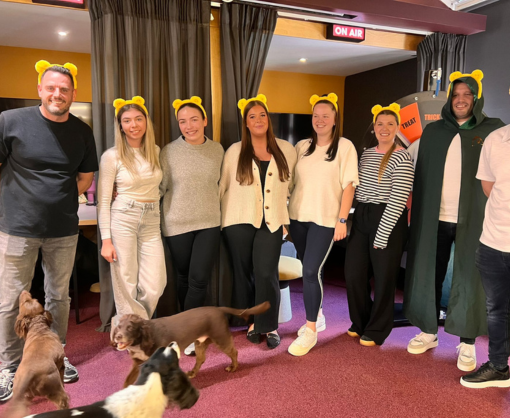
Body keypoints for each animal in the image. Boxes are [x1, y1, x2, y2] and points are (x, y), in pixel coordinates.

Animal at [5, 290, 68, 418]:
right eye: (24, 301)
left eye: (31, 299)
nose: (23, 291)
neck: (39, 329)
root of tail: (29, 375)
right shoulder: (60, 364)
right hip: (56, 390)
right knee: (62, 403)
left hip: (23, 398)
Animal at [112, 302, 270, 386]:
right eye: (119, 327)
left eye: (130, 327)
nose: (118, 337)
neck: (144, 339)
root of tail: (217, 308)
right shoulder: (137, 363)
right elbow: (127, 381)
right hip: (200, 343)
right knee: (201, 359)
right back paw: (193, 373)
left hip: (221, 338)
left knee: (234, 352)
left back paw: (233, 367)